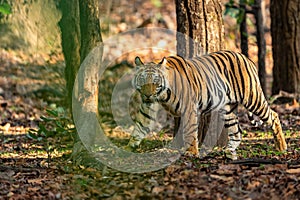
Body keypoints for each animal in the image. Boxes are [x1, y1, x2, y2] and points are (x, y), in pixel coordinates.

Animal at [125, 50, 288, 159]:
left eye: (155, 82)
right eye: (142, 80)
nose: (147, 95)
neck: (163, 95)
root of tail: (246, 58)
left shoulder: (189, 108)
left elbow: (190, 132)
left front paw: (191, 153)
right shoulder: (148, 107)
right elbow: (139, 126)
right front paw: (127, 147)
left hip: (252, 98)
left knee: (273, 115)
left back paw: (281, 146)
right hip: (226, 108)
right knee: (236, 129)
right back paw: (229, 151)